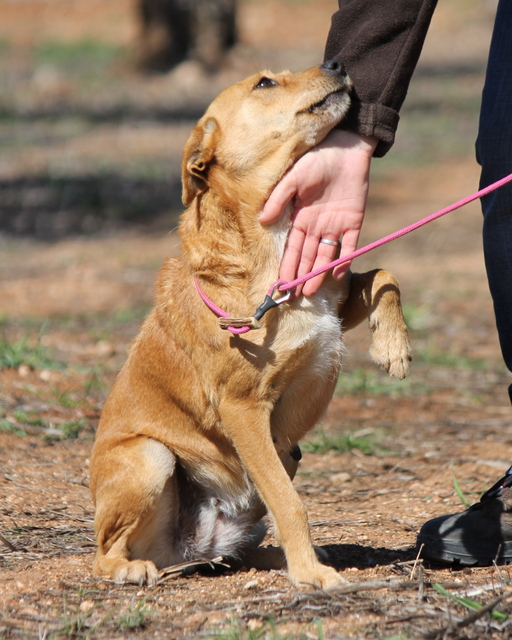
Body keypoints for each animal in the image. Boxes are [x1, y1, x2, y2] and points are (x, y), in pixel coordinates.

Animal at [90, 61, 412, 592]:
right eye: (264, 83)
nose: (337, 65)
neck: (271, 242)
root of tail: (186, 551)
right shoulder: (245, 409)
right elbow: (290, 503)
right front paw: (312, 575)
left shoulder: (328, 302)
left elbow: (384, 274)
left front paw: (393, 347)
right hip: (151, 458)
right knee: (106, 549)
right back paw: (129, 568)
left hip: (275, 469)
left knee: (240, 550)